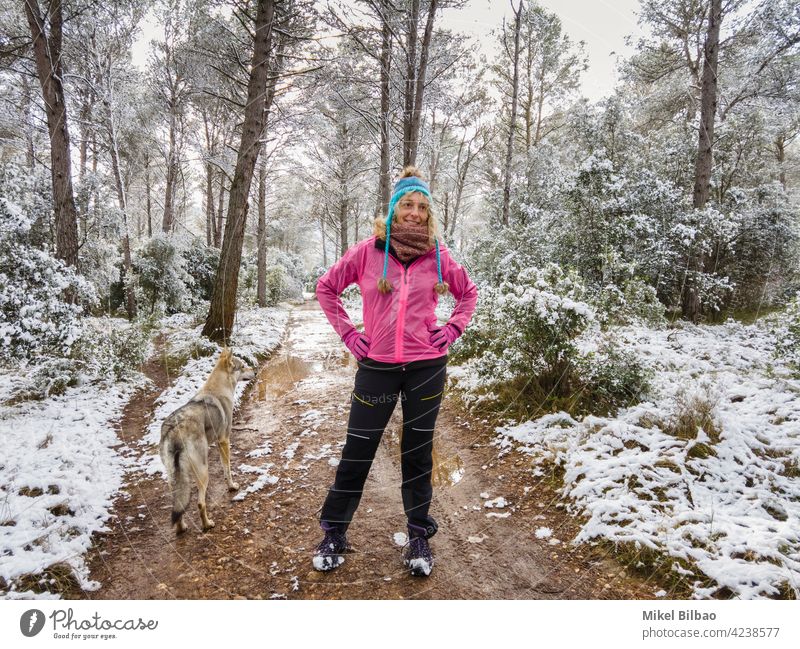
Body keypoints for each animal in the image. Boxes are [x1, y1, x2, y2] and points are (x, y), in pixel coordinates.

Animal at [158, 350, 255, 532]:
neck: (219, 388)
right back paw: (207, 525)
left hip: (174, 478)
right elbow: (227, 469)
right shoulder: (224, 441)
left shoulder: (218, 442)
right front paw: (232, 487)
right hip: (203, 471)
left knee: (178, 504)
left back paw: (181, 527)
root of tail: (174, 430)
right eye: (243, 366)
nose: (255, 370)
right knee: (200, 503)